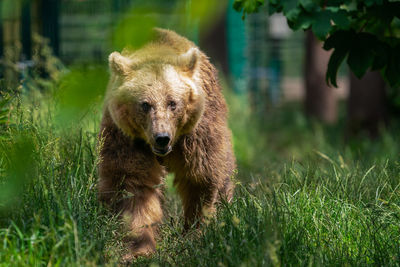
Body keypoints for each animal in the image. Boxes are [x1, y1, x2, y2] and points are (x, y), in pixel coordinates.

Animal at [98, 28, 236, 260]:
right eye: (145, 104)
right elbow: (134, 185)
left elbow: (200, 179)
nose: (162, 137)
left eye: (173, 103)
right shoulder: (128, 139)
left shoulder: (196, 135)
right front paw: (139, 247)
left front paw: (195, 234)